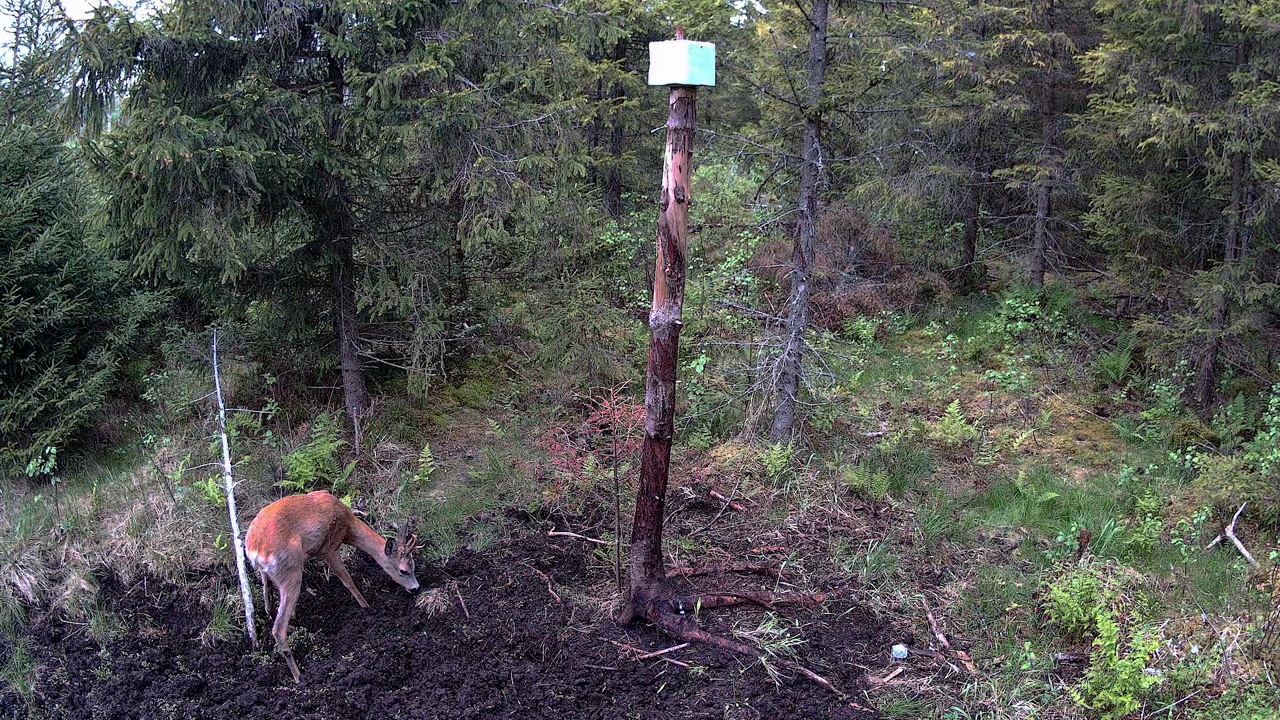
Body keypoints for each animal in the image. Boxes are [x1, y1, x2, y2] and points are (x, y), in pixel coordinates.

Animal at [240, 486, 419, 676]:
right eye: (403, 570)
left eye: (414, 564)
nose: (416, 588)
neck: (348, 526)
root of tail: (254, 549)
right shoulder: (329, 548)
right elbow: (348, 581)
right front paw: (367, 607)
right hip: (291, 570)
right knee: (278, 629)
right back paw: (298, 675)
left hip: (266, 573)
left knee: (268, 604)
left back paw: (292, 627)